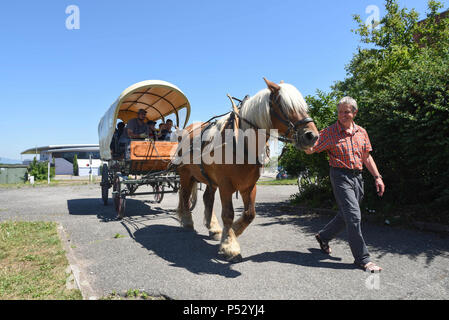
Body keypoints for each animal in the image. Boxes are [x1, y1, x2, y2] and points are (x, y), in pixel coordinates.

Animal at [173, 78, 316, 262]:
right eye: (286, 106)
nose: (312, 136)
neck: (241, 142)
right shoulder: (226, 185)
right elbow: (228, 214)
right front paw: (229, 245)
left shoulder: (249, 185)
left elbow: (250, 214)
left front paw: (232, 231)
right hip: (185, 174)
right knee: (184, 195)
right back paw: (187, 220)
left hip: (210, 179)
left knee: (207, 199)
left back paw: (213, 228)